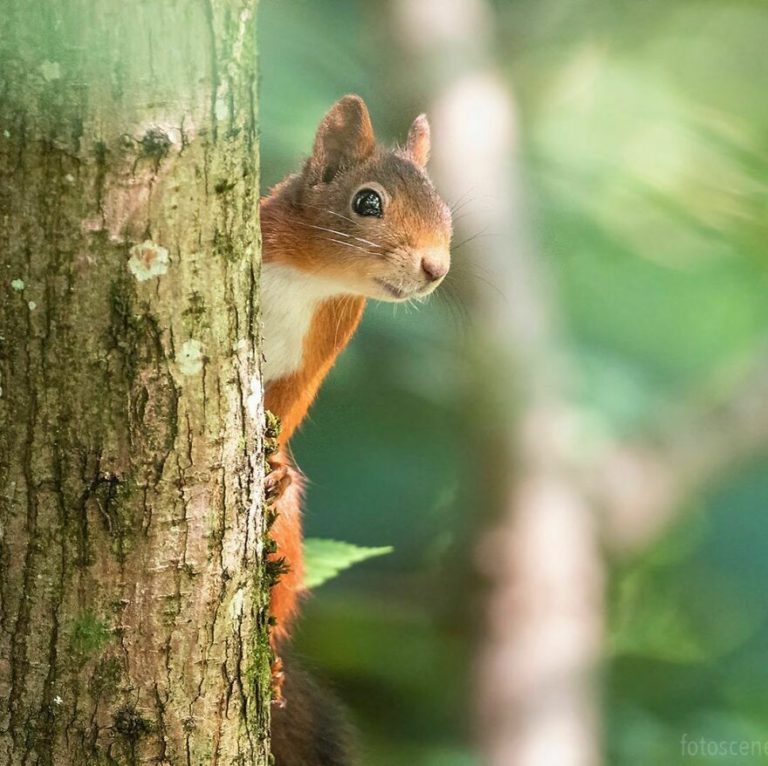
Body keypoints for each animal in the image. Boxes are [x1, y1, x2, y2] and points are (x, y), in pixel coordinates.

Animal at [260, 96, 452, 648]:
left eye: (445, 211)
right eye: (367, 202)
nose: (437, 268)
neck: (311, 278)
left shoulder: (323, 345)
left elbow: (291, 401)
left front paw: (274, 466)